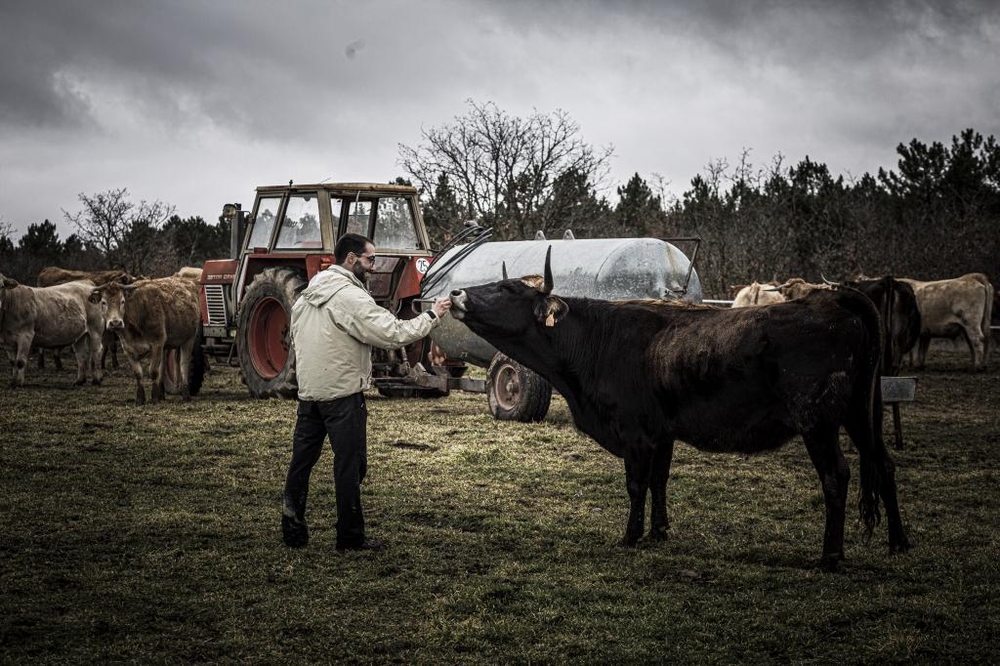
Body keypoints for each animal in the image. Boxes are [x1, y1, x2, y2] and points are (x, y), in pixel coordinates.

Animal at [89, 276, 202, 404]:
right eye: (103, 302)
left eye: (122, 301)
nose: (115, 323)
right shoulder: (128, 348)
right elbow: (138, 374)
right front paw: (140, 398)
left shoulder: (157, 343)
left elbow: (153, 371)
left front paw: (154, 397)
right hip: (167, 344)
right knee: (163, 365)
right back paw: (162, 393)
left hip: (189, 339)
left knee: (183, 364)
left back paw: (185, 394)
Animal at [450, 246, 912, 568]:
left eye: (506, 289)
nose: (456, 293)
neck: (598, 339)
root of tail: (833, 300)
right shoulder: (662, 433)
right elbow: (660, 481)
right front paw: (659, 531)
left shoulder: (636, 433)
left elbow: (637, 484)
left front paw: (631, 535)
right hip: (860, 413)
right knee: (884, 464)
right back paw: (898, 542)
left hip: (818, 421)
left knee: (837, 475)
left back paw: (831, 555)